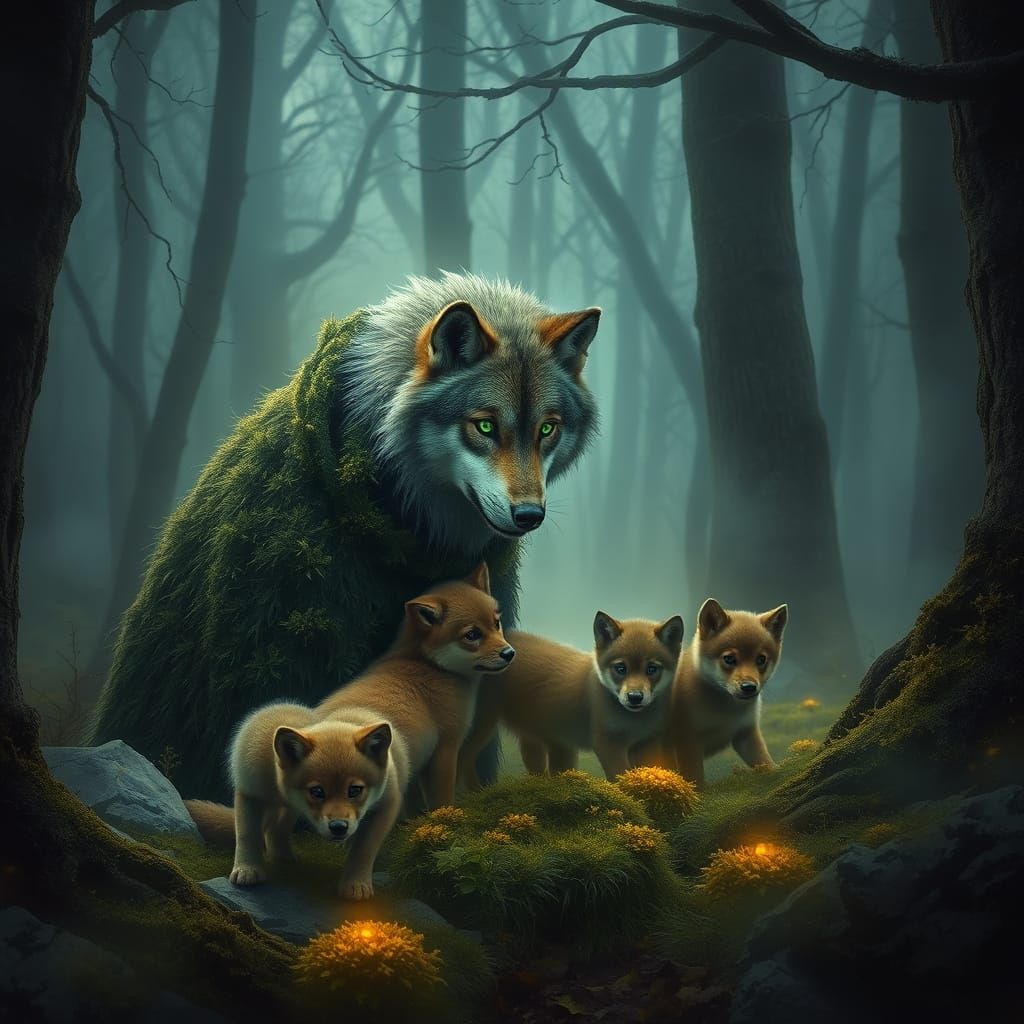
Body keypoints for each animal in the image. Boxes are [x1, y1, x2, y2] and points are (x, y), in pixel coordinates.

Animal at [186, 566, 513, 900]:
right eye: (472, 635)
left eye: (496, 623)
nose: (509, 653)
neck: (426, 666)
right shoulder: (444, 752)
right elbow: (441, 802)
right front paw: (444, 828)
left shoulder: (407, 770)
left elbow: (410, 807)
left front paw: (414, 831)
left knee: (274, 827)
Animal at [459, 611, 685, 785]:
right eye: (621, 668)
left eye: (652, 669)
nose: (635, 697)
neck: (634, 722)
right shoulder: (607, 744)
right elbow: (620, 777)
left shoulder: (646, 745)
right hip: (485, 725)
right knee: (463, 758)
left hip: (548, 742)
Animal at [665, 598, 788, 787]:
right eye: (729, 659)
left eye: (761, 659)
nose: (749, 687)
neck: (724, 711)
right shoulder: (687, 741)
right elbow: (695, 778)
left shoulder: (746, 733)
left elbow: (765, 762)